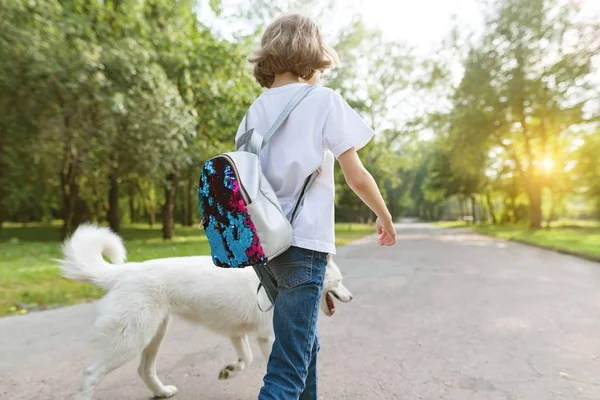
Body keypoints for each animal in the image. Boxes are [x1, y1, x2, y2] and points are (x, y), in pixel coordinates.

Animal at [61, 225, 352, 400]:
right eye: (339, 282)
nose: (351, 297)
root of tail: (125, 271)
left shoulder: (238, 335)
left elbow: (245, 359)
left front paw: (229, 371)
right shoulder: (269, 338)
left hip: (154, 335)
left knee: (144, 370)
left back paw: (162, 391)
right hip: (131, 340)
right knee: (91, 374)